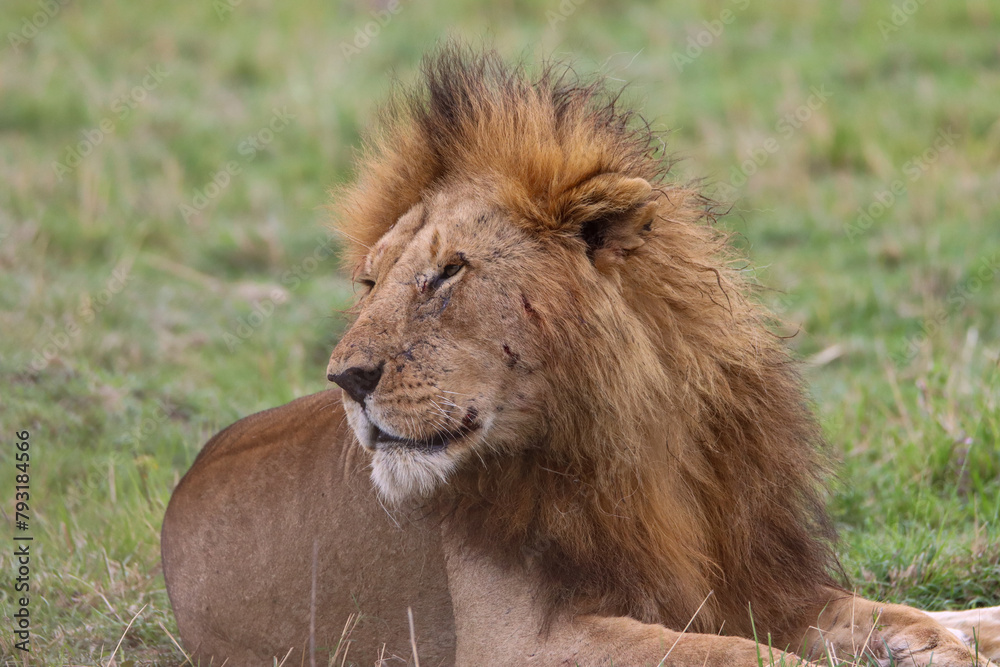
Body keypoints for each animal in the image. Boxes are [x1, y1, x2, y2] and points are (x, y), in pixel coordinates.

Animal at [160, 48, 996, 667]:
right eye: (371, 282)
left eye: (446, 272)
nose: (346, 379)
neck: (637, 437)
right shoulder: (519, 642)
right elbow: (738, 654)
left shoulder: (752, 578)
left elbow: (876, 610)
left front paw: (937, 640)